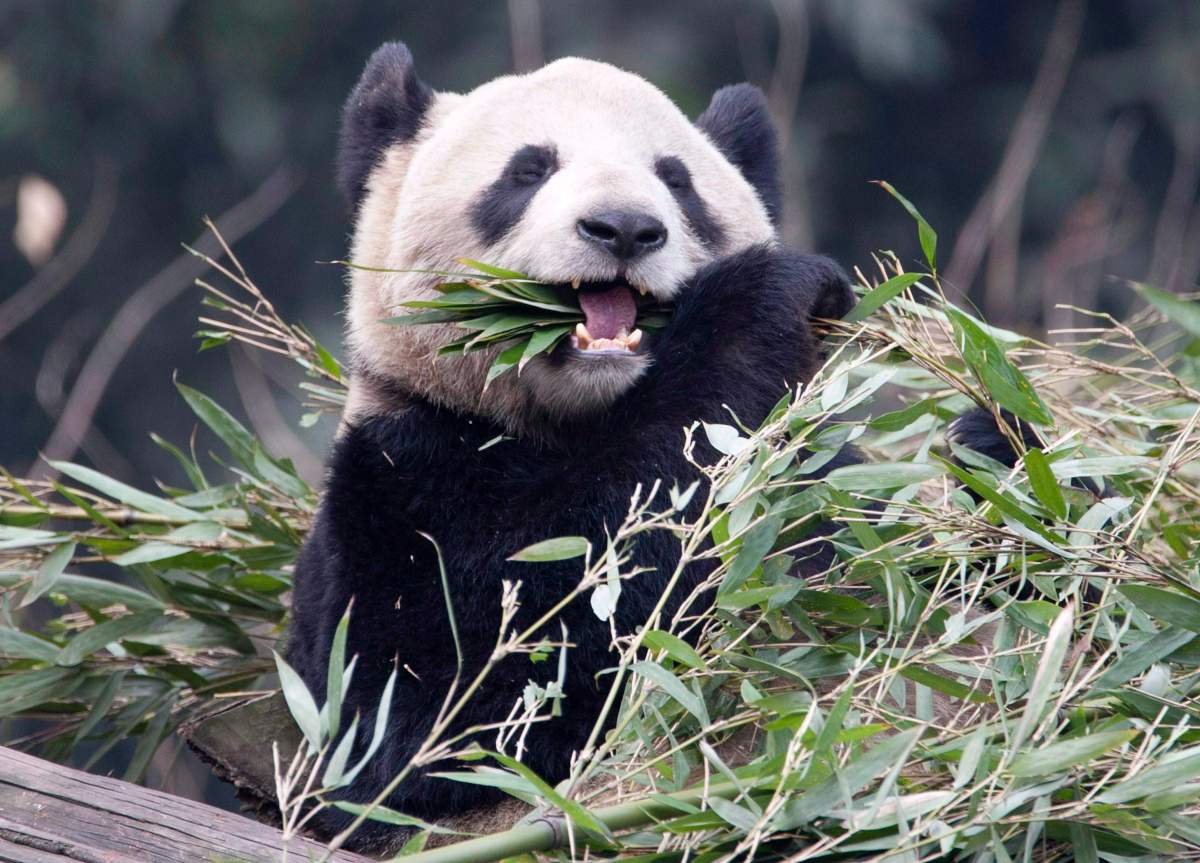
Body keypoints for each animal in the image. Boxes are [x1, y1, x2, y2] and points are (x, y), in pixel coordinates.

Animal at [286, 41, 860, 843]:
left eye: (676, 179)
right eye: (528, 170)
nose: (624, 228)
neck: (574, 416)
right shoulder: (396, 482)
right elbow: (455, 701)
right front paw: (764, 295)